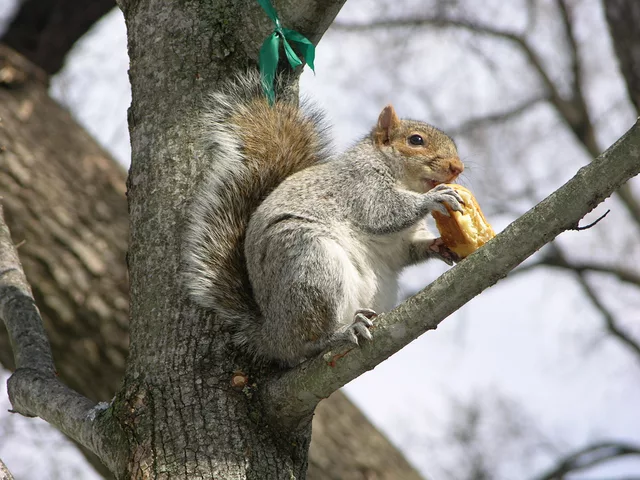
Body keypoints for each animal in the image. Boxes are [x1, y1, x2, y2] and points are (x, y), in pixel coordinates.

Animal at [183, 71, 464, 367]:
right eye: (416, 141)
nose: (457, 168)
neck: (404, 180)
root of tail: (273, 337)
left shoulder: (404, 240)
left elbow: (408, 249)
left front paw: (439, 245)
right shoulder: (360, 186)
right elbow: (384, 212)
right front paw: (435, 197)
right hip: (312, 265)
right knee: (310, 341)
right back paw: (341, 332)